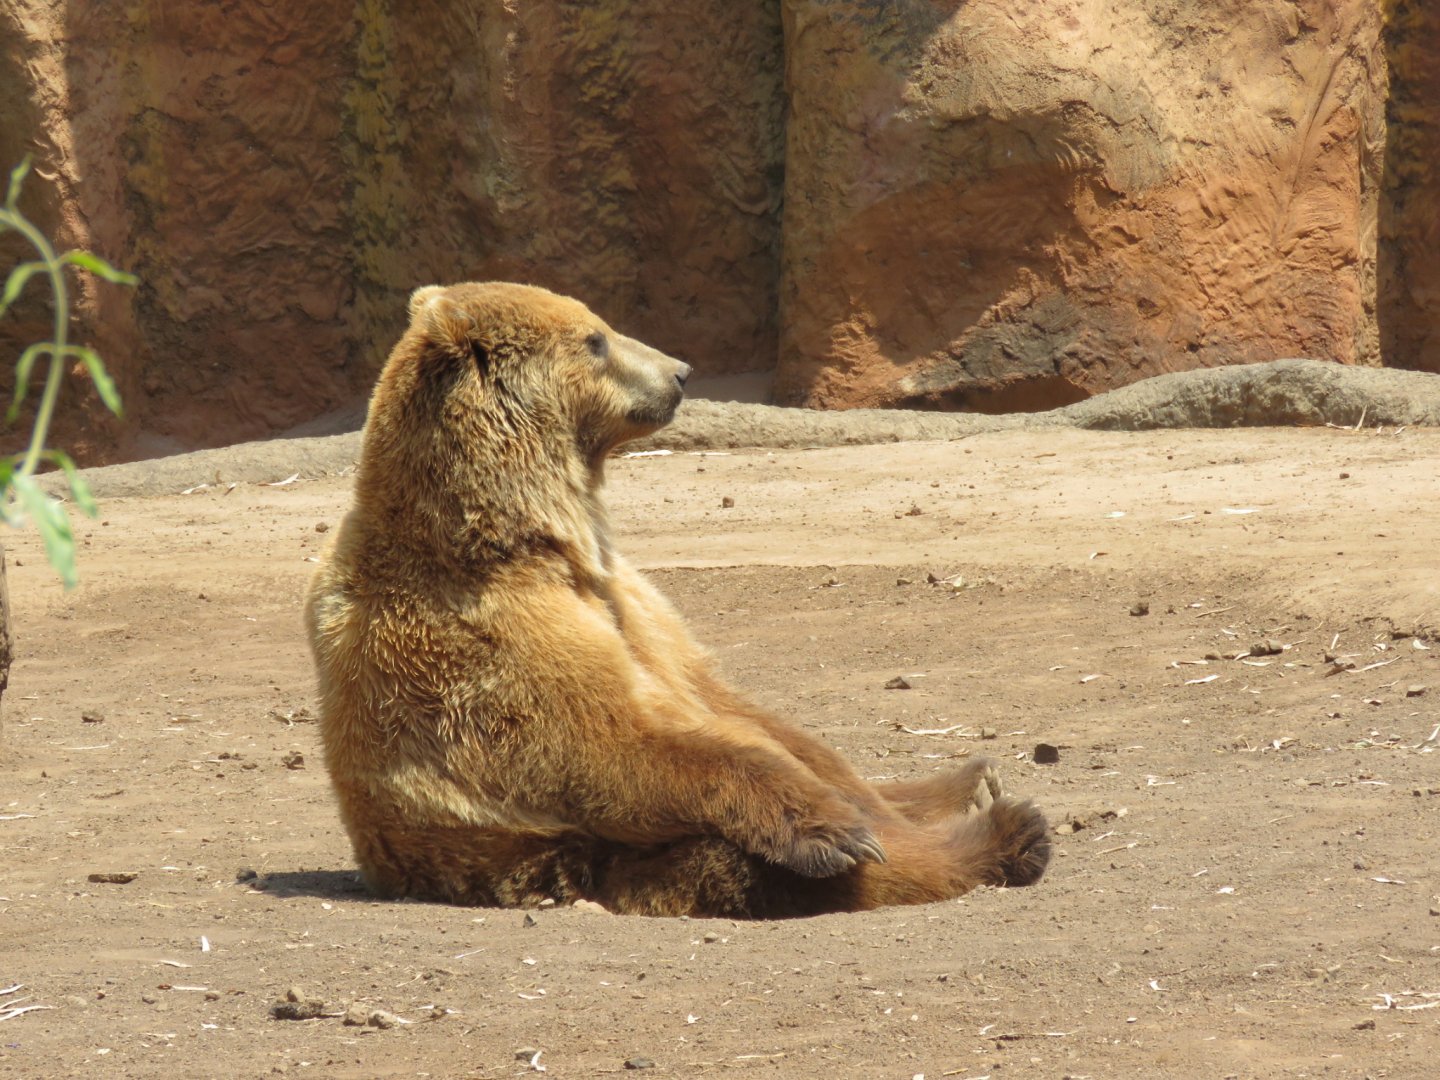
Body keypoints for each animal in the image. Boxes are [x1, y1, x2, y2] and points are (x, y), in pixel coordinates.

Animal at [305, 282, 1050, 918]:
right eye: (595, 340)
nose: (681, 371)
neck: (534, 538)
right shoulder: (488, 641)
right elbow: (608, 749)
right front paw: (836, 830)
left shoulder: (631, 603)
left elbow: (745, 713)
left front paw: (886, 800)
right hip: (619, 859)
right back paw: (1004, 832)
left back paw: (965, 784)